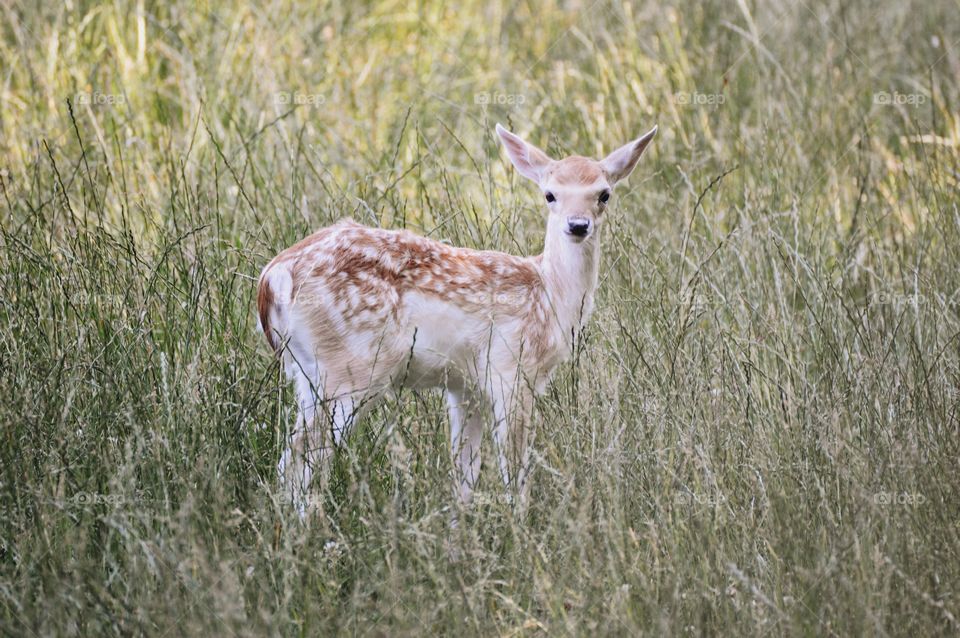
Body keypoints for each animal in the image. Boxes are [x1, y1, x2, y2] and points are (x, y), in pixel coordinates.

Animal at [258, 122, 656, 516]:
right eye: (549, 195)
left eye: (604, 194)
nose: (578, 225)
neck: (549, 295)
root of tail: (273, 279)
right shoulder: (510, 370)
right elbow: (514, 468)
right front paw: (519, 527)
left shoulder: (465, 386)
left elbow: (465, 472)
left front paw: (462, 528)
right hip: (349, 369)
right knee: (304, 455)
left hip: (308, 373)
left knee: (292, 457)